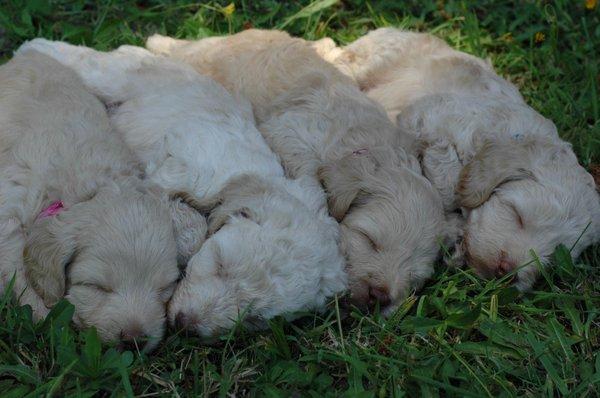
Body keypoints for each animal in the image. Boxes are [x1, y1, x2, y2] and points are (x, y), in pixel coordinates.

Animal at [0, 51, 204, 350]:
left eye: (164, 288)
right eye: (96, 287)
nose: (134, 340)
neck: (87, 187)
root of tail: (26, 55)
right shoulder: (11, 207)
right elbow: (16, 266)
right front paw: (44, 314)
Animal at [21, 38, 346, 336]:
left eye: (254, 319)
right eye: (220, 264)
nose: (185, 324)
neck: (242, 173)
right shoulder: (175, 169)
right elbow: (188, 219)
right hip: (121, 78)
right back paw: (36, 48)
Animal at [326, 28, 600, 290]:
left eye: (551, 259)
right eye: (517, 215)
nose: (507, 273)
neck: (512, 133)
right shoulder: (427, 116)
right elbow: (446, 176)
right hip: (370, 60)